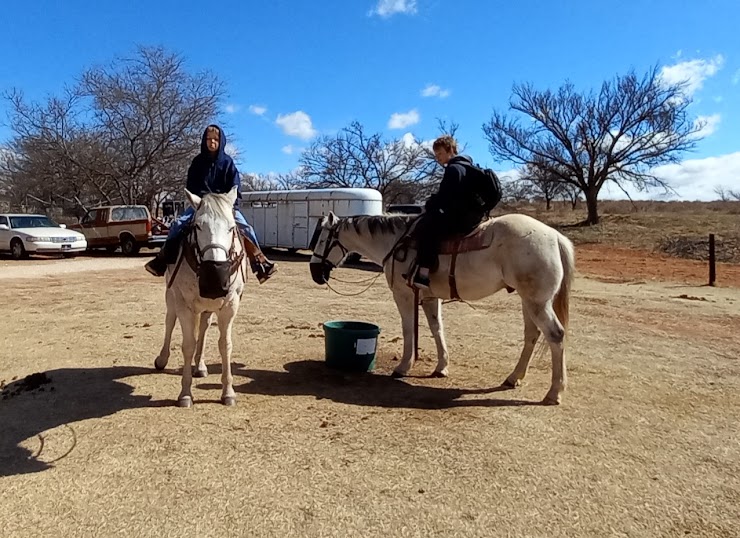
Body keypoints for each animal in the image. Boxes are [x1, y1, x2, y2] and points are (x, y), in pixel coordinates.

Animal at [152, 186, 247, 404]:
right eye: (197, 226)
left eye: (231, 228)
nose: (214, 276)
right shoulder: (184, 305)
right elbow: (188, 345)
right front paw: (185, 393)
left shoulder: (230, 306)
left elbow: (224, 345)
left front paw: (228, 392)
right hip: (171, 297)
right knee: (170, 322)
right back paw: (162, 359)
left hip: (206, 308)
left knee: (203, 328)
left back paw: (201, 366)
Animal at [310, 211, 576, 404]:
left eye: (323, 239)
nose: (314, 272)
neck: (396, 243)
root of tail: (555, 236)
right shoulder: (429, 298)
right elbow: (437, 329)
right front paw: (441, 367)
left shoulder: (404, 295)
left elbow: (409, 330)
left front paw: (403, 367)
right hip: (528, 301)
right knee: (532, 335)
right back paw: (513, 378)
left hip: (537, 302)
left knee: (556, 335)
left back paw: (554, 392)